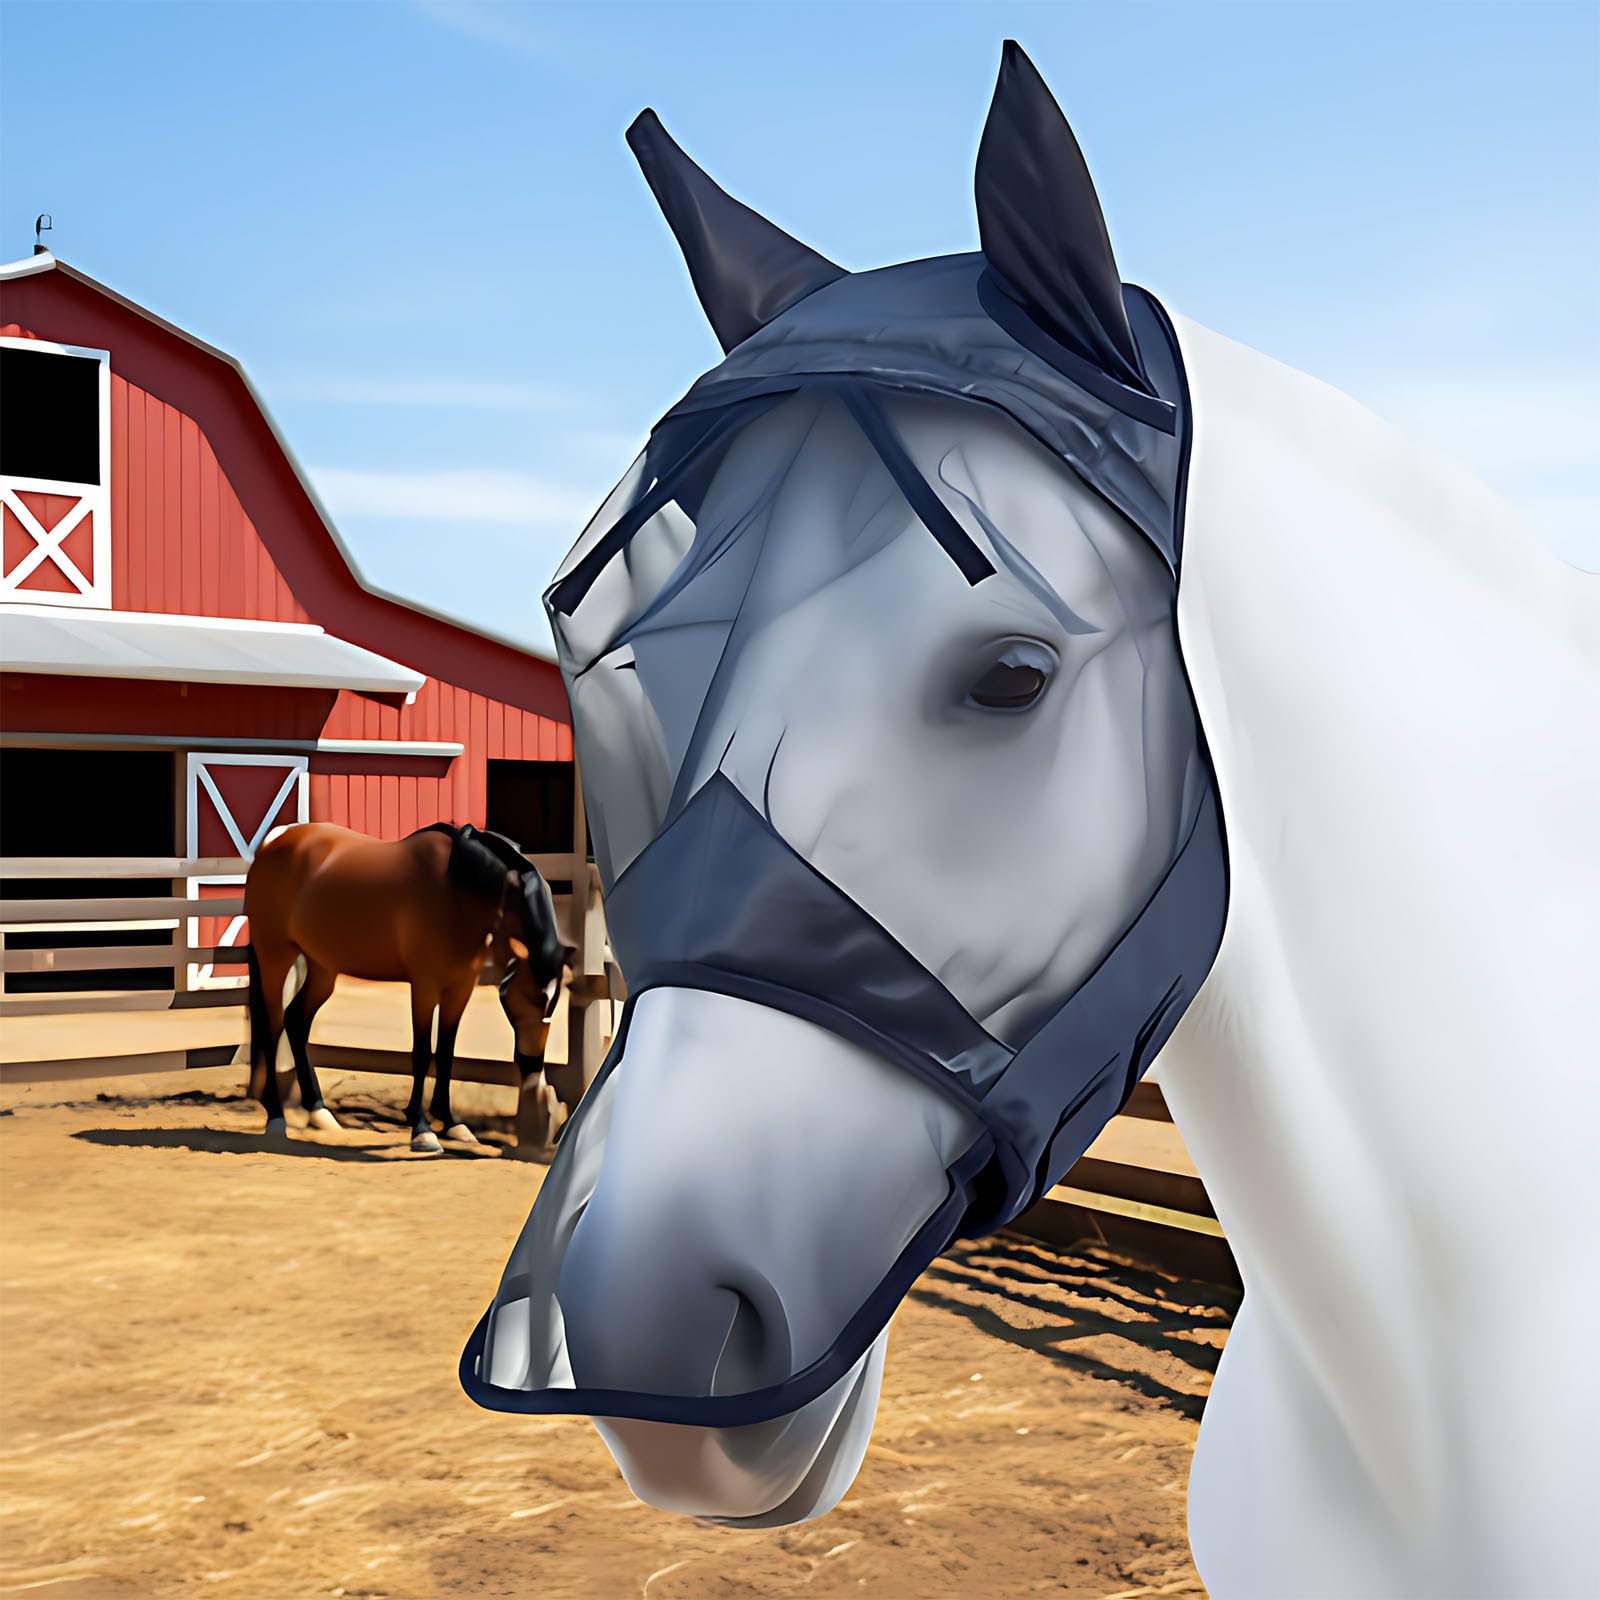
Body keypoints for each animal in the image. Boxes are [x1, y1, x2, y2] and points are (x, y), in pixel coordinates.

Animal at [243, 821, 574, 1152]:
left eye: (554, 1002)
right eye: (525, 1000)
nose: (533, 1069)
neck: (457, 886)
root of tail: (276, 839)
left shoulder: (461, 986)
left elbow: (446, 1052)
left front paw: (451, 1123)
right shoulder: (425, 986)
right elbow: (422, 1053)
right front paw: (422, 1129)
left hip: (323, 967)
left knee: (295, 1021)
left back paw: (319, 1112)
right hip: (275, 956)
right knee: (272, 1027)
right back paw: (276, 1117)